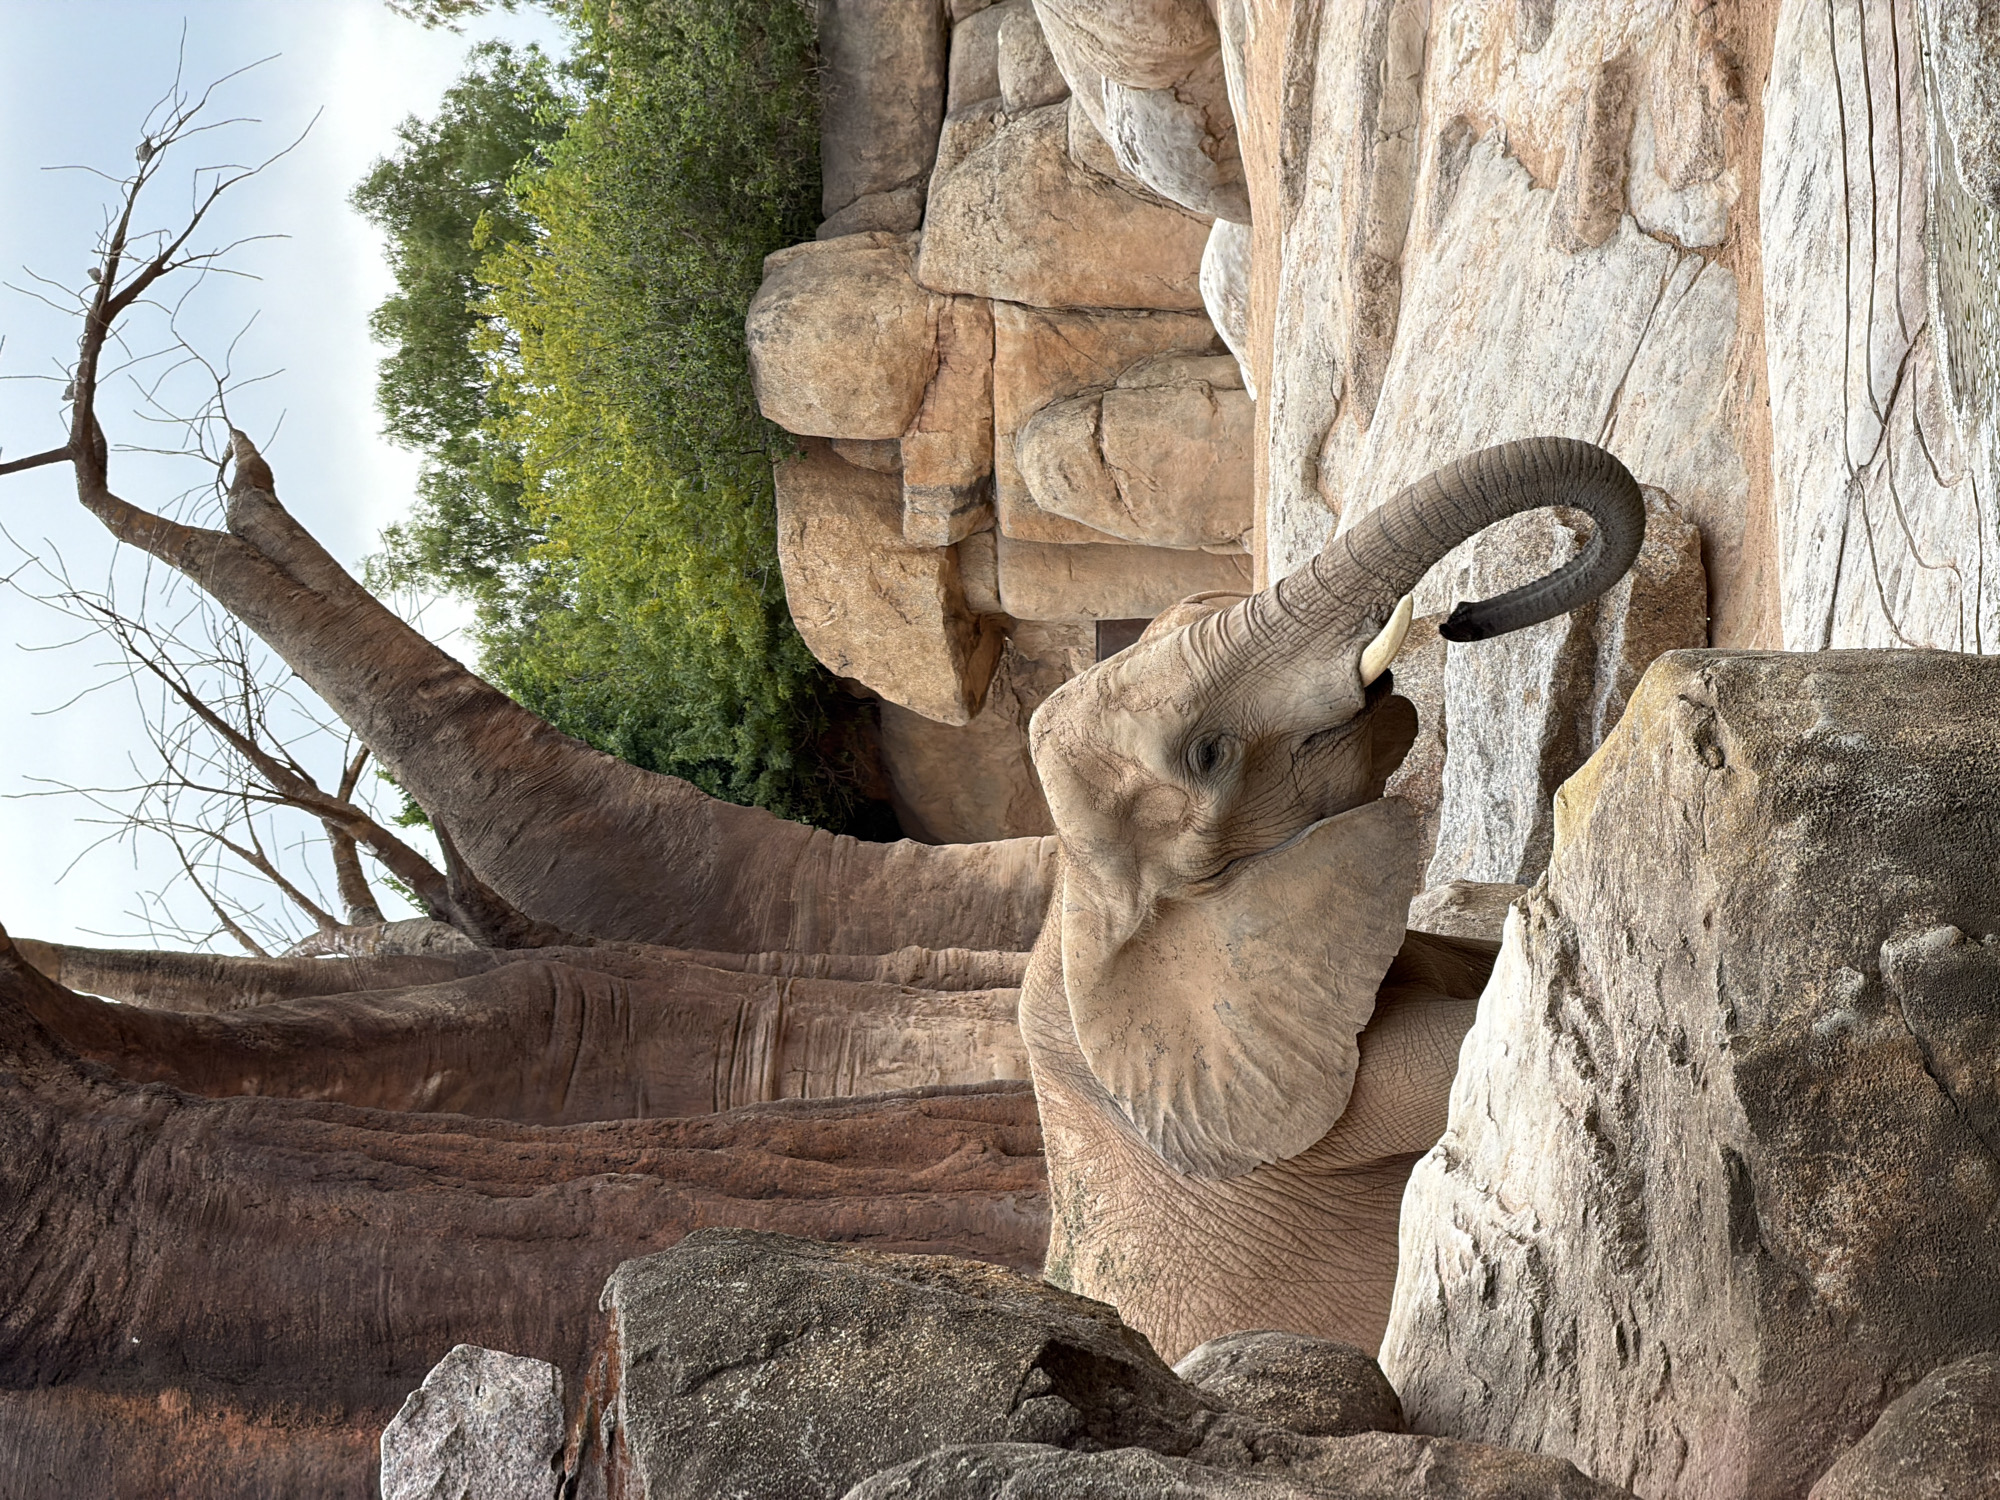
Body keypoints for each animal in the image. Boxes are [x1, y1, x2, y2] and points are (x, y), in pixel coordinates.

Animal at [1018, 436, 1647, 1362]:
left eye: (1196, 609)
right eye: (1209, 754)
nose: (1463, 615)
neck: (1081, 892)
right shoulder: (1315, 1117)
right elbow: (1463, 1045)